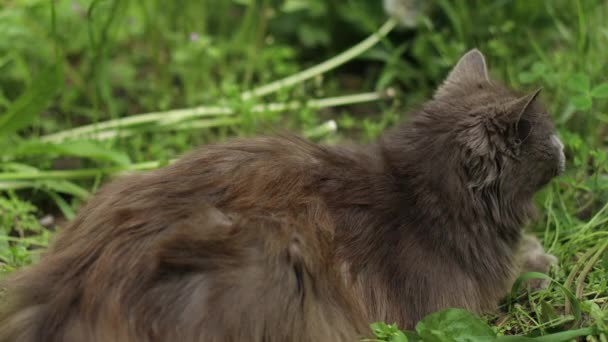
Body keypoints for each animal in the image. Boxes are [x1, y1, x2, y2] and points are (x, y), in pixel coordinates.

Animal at [0, 48, 564, 342]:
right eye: (550, 133)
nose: (565, 147)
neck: (422, 194)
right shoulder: (453, 307)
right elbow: (513, 277)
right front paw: (541, 260)